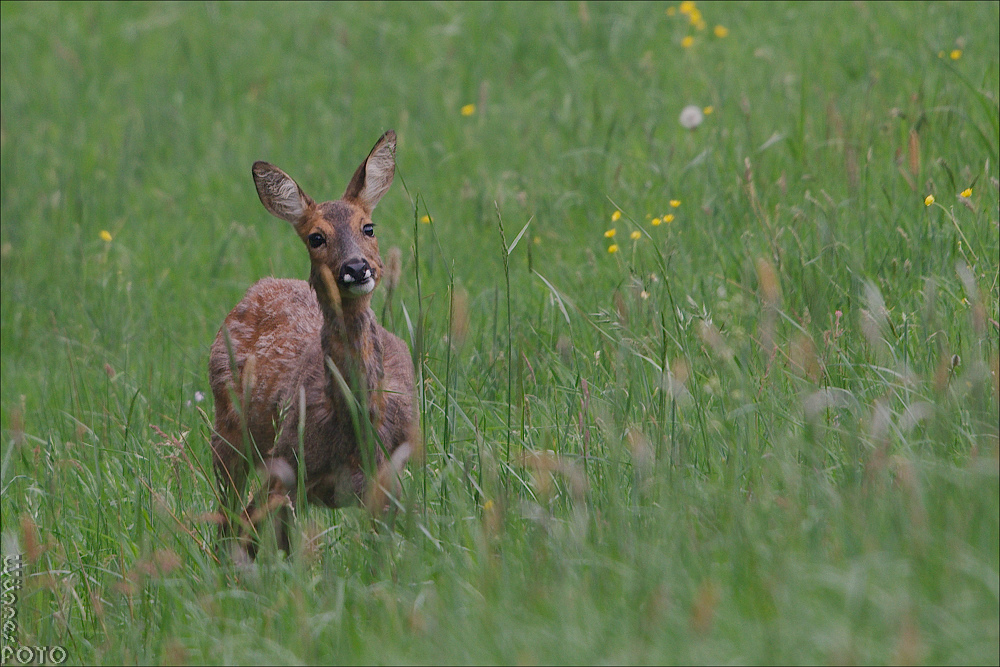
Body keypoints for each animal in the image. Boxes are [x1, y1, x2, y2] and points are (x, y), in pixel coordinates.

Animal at [209, 129, 416, 560]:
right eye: (316, 237)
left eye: (369, 227)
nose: (356, 268)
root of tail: (262, 285)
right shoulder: (288, 469)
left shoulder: (389, 480)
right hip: (229, 433)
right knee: (230, 516)